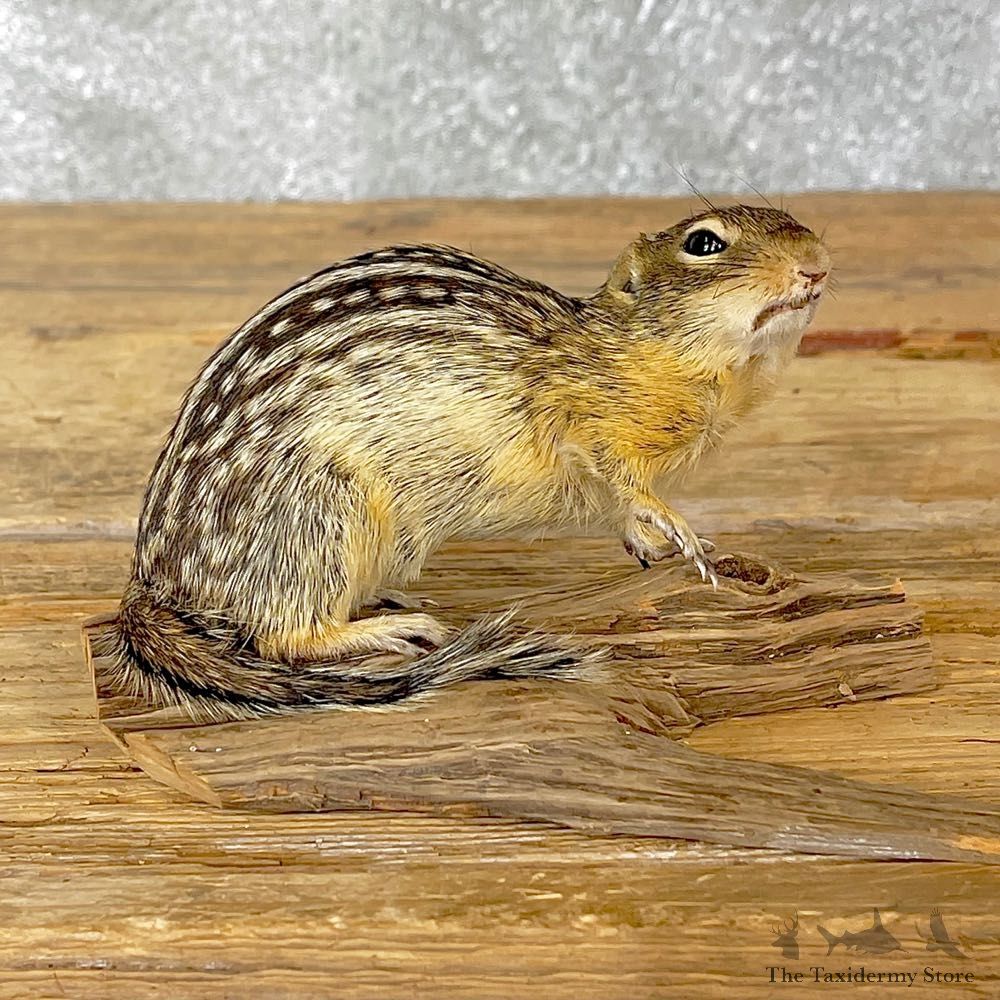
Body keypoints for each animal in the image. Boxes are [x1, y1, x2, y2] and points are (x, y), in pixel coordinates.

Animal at [110, 203, 830, 720]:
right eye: (704, 243)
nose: (818, 263)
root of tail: (155, 580)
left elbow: (615, 502)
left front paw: (644, 536)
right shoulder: (580, 416)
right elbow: (619, 476)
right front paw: (676, 527)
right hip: (320, 516)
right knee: (283, 637)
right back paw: (390, 629)